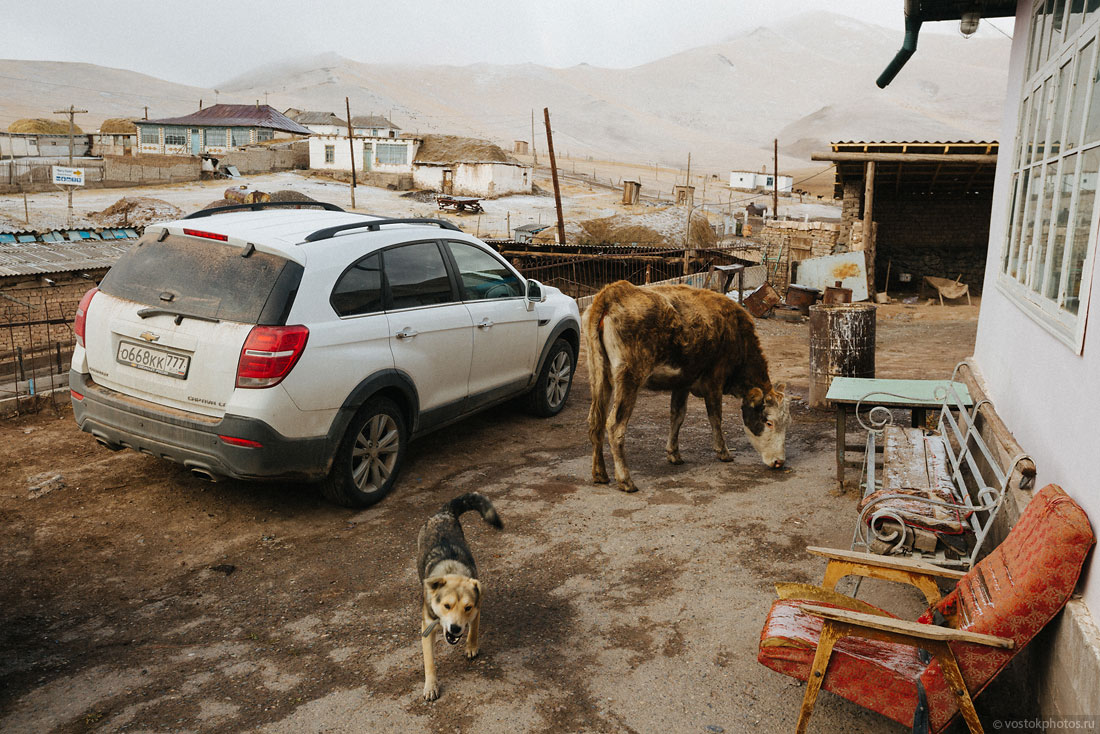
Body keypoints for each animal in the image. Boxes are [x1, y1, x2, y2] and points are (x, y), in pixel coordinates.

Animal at [415, 493, 503, 699]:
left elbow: (474, 630)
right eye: (446, 606)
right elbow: (429, 661)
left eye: (467, 607)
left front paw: (471, 647)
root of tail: (444, 513)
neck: (451, 570)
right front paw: (431, 686)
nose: (455, 628)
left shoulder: (477, 610)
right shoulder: (427, 627)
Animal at [585, 281, 792, 493]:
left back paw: (600, 474)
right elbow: (715, 417)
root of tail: (613, 292)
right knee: (615, 425)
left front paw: (674, 454)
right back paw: (625, 480)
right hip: (629, 378)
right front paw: (723, 452)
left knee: (596, 421)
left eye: (788, 422)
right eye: (769, 422)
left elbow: (677, 416)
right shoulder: (714, 381)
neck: (736, 334)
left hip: (599, 374)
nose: (779, 462)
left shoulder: (682, 382)